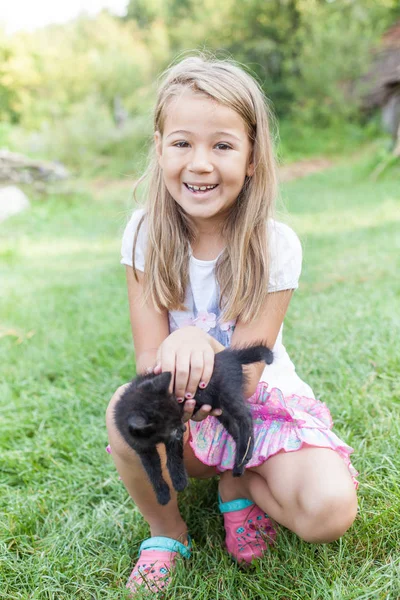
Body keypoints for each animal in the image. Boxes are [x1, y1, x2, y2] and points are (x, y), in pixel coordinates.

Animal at [114, 344, 274, 504]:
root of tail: (229, 356)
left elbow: (174, 458)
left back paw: (242, 454)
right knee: (235, 429)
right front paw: (162, 494)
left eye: (178, 422)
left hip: (228, 392)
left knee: (246, 417)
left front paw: (179, 482)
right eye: (173, 427)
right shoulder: (142, 448)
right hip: (221, 409)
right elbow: (152, 469)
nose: (184, 428)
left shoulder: (174, 440)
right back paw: (240, 463)